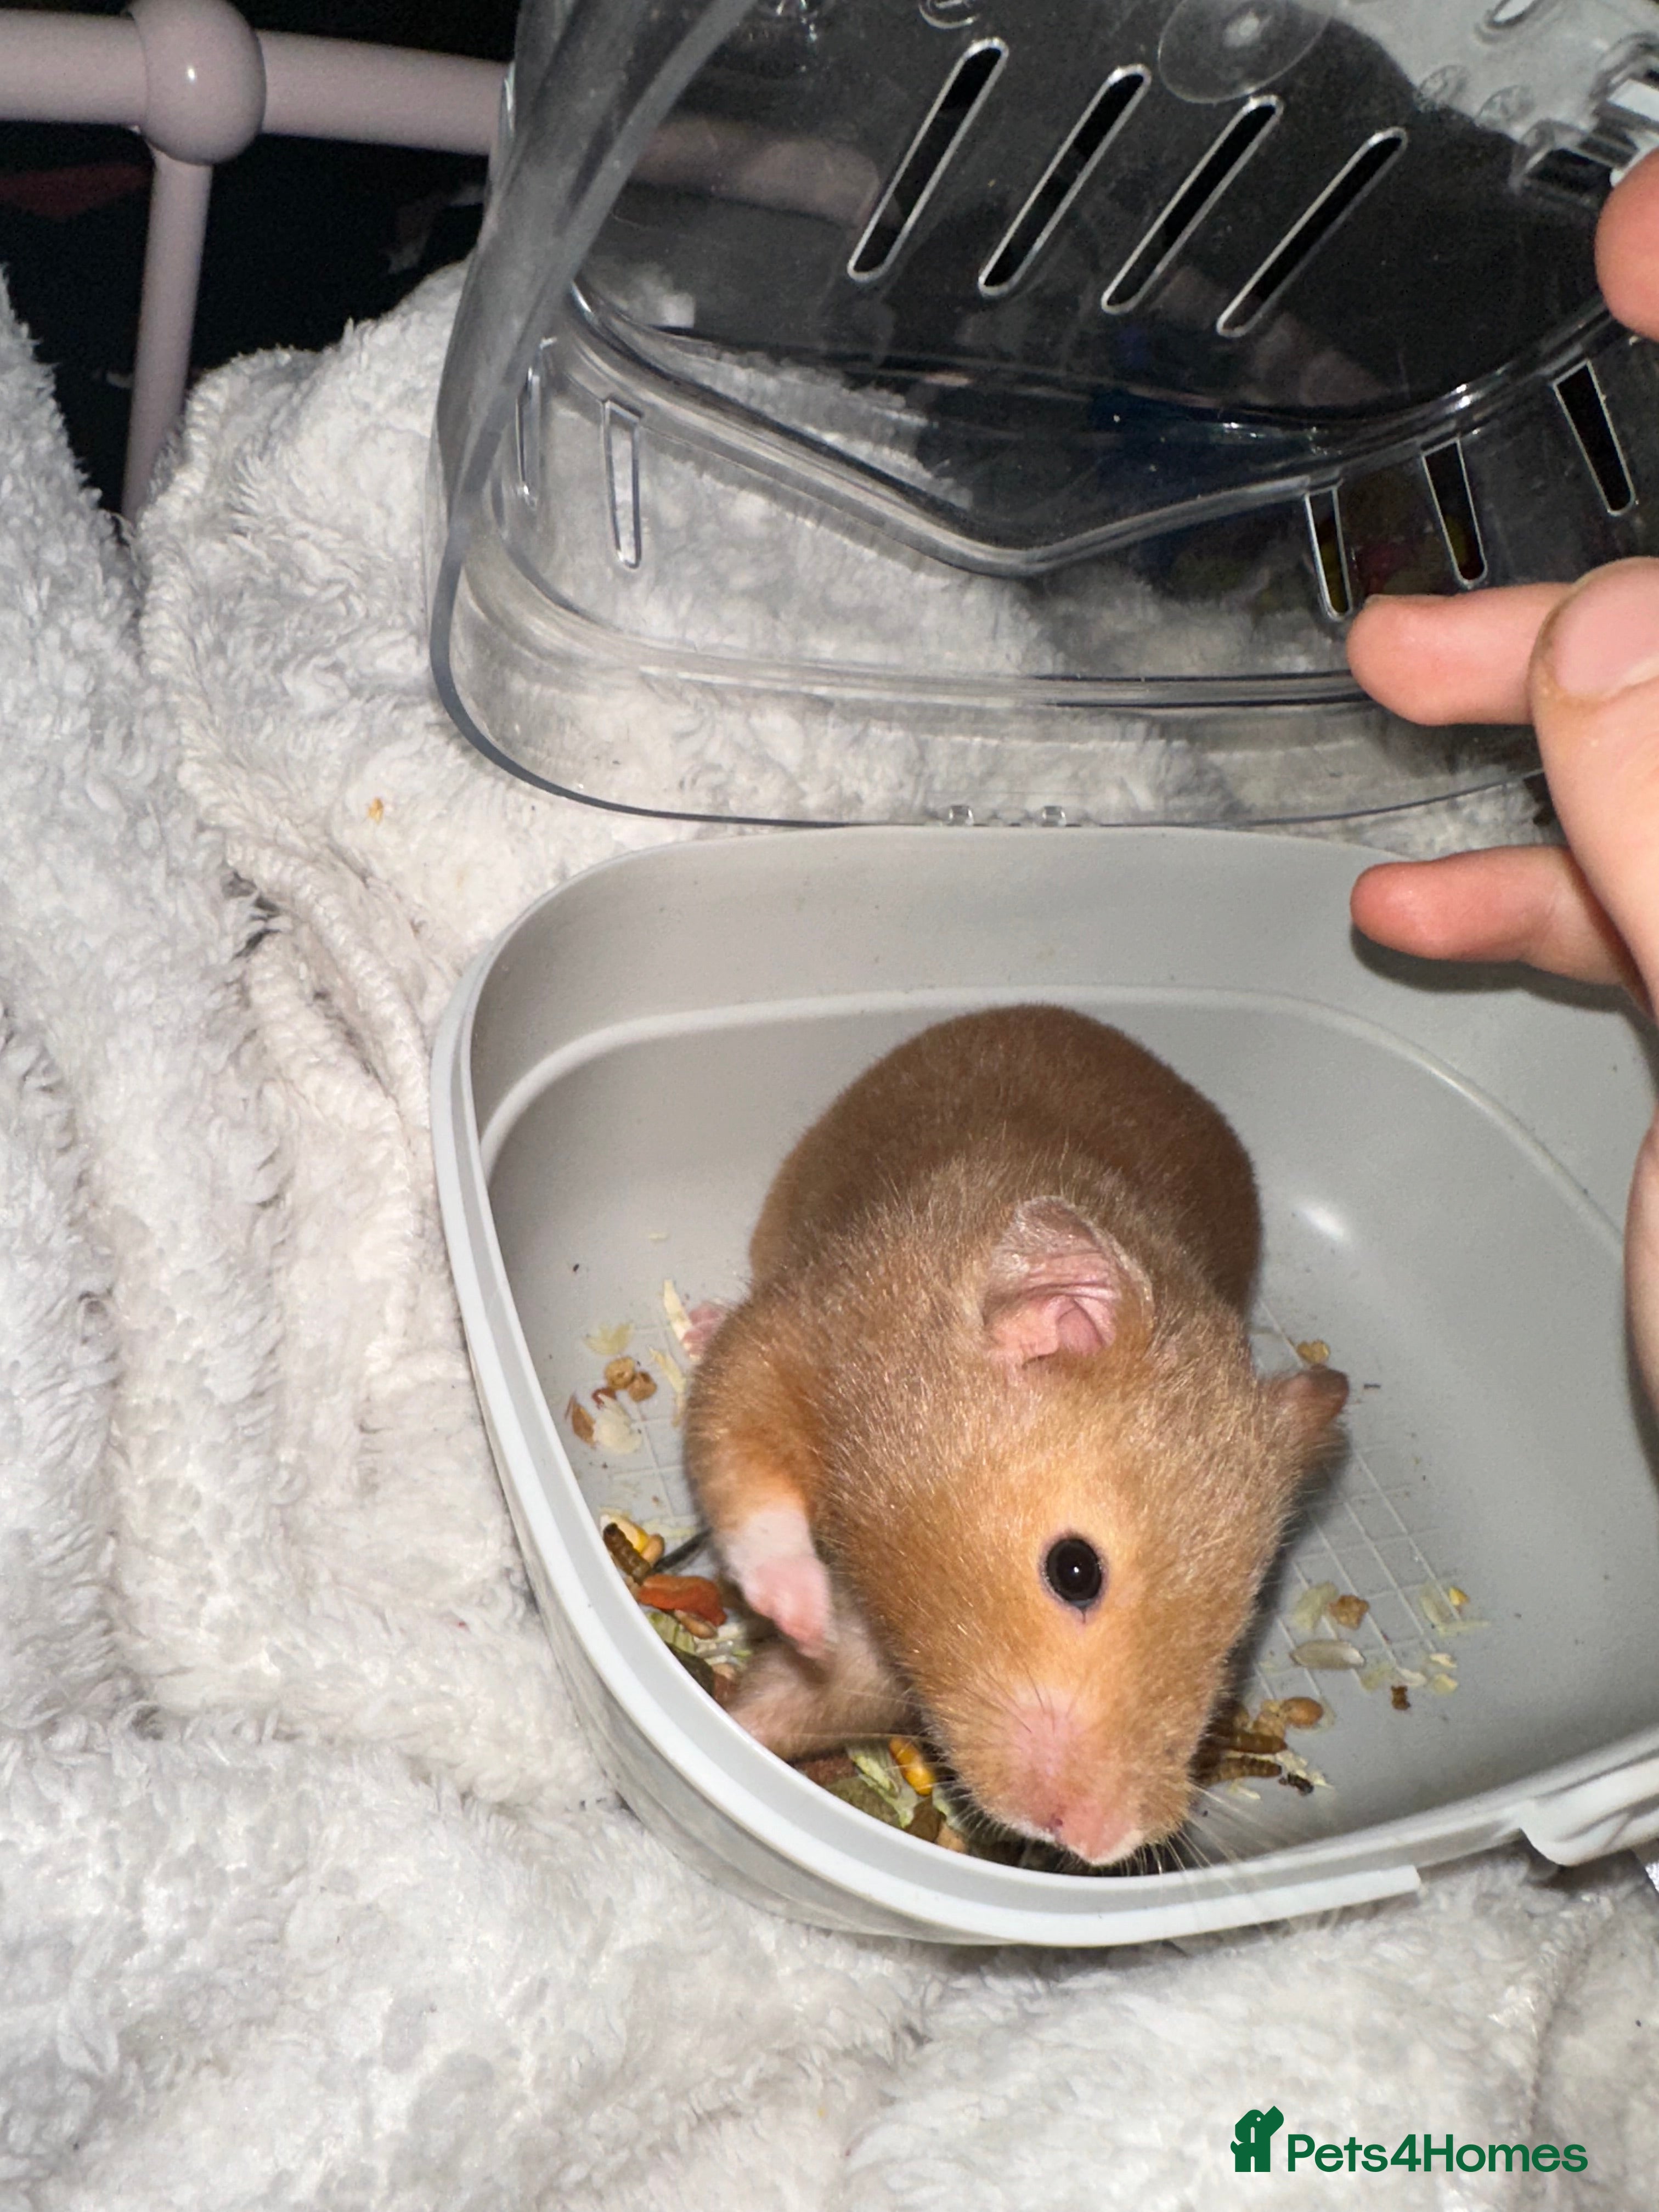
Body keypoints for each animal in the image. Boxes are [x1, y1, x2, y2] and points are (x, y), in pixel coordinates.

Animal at [683, 1005, 1346, 1868]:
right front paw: (803, 1618)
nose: (1103, 1841)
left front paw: (739, 1725)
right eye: (1075, 1571)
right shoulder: (795, 1342)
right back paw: (696, 1326)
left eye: (1237, 1637)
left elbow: (804, 1701)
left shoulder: (892, 1660)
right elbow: (742, 1452)